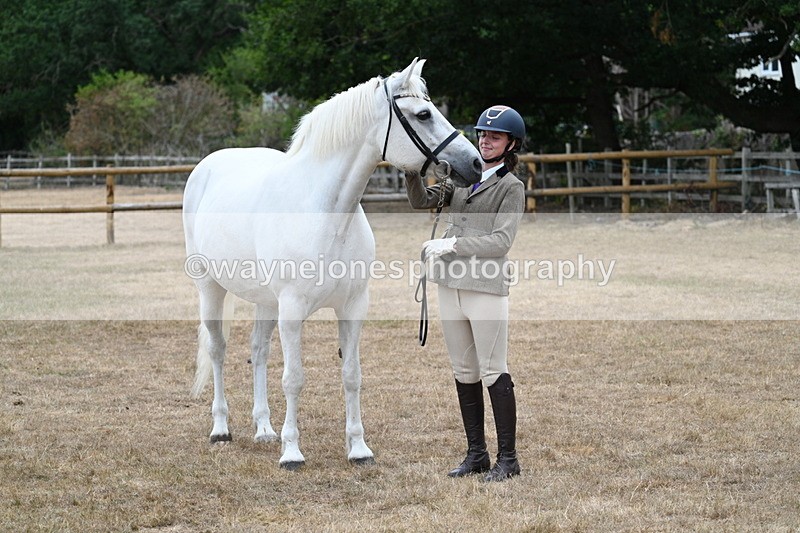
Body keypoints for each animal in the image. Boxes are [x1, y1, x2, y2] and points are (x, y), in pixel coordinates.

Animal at [182, 58, 481, 469]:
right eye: (423, 115)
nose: (475, 163)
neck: (326, 212)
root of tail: (208, 165)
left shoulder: (353, 307)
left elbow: (351, 375)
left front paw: (358, 448)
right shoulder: (292, 311)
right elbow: (293, 378)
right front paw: (292, 452)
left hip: (265, 301)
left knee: (258, 352)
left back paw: (264, 429)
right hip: (209, 287)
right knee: (218, 349)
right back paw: (221, 428)